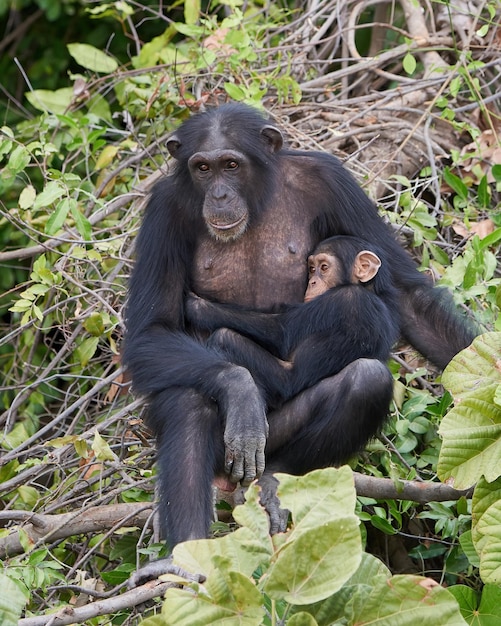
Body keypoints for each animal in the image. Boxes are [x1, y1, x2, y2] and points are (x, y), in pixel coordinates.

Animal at [186, 234, 400, 410]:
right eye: (312, 269)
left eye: (324, 267)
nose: (312, 282)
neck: (366, 289)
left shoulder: (345, 299)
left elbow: (281, 331)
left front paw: (195, 305)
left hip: (281, 387)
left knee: (225, 337)